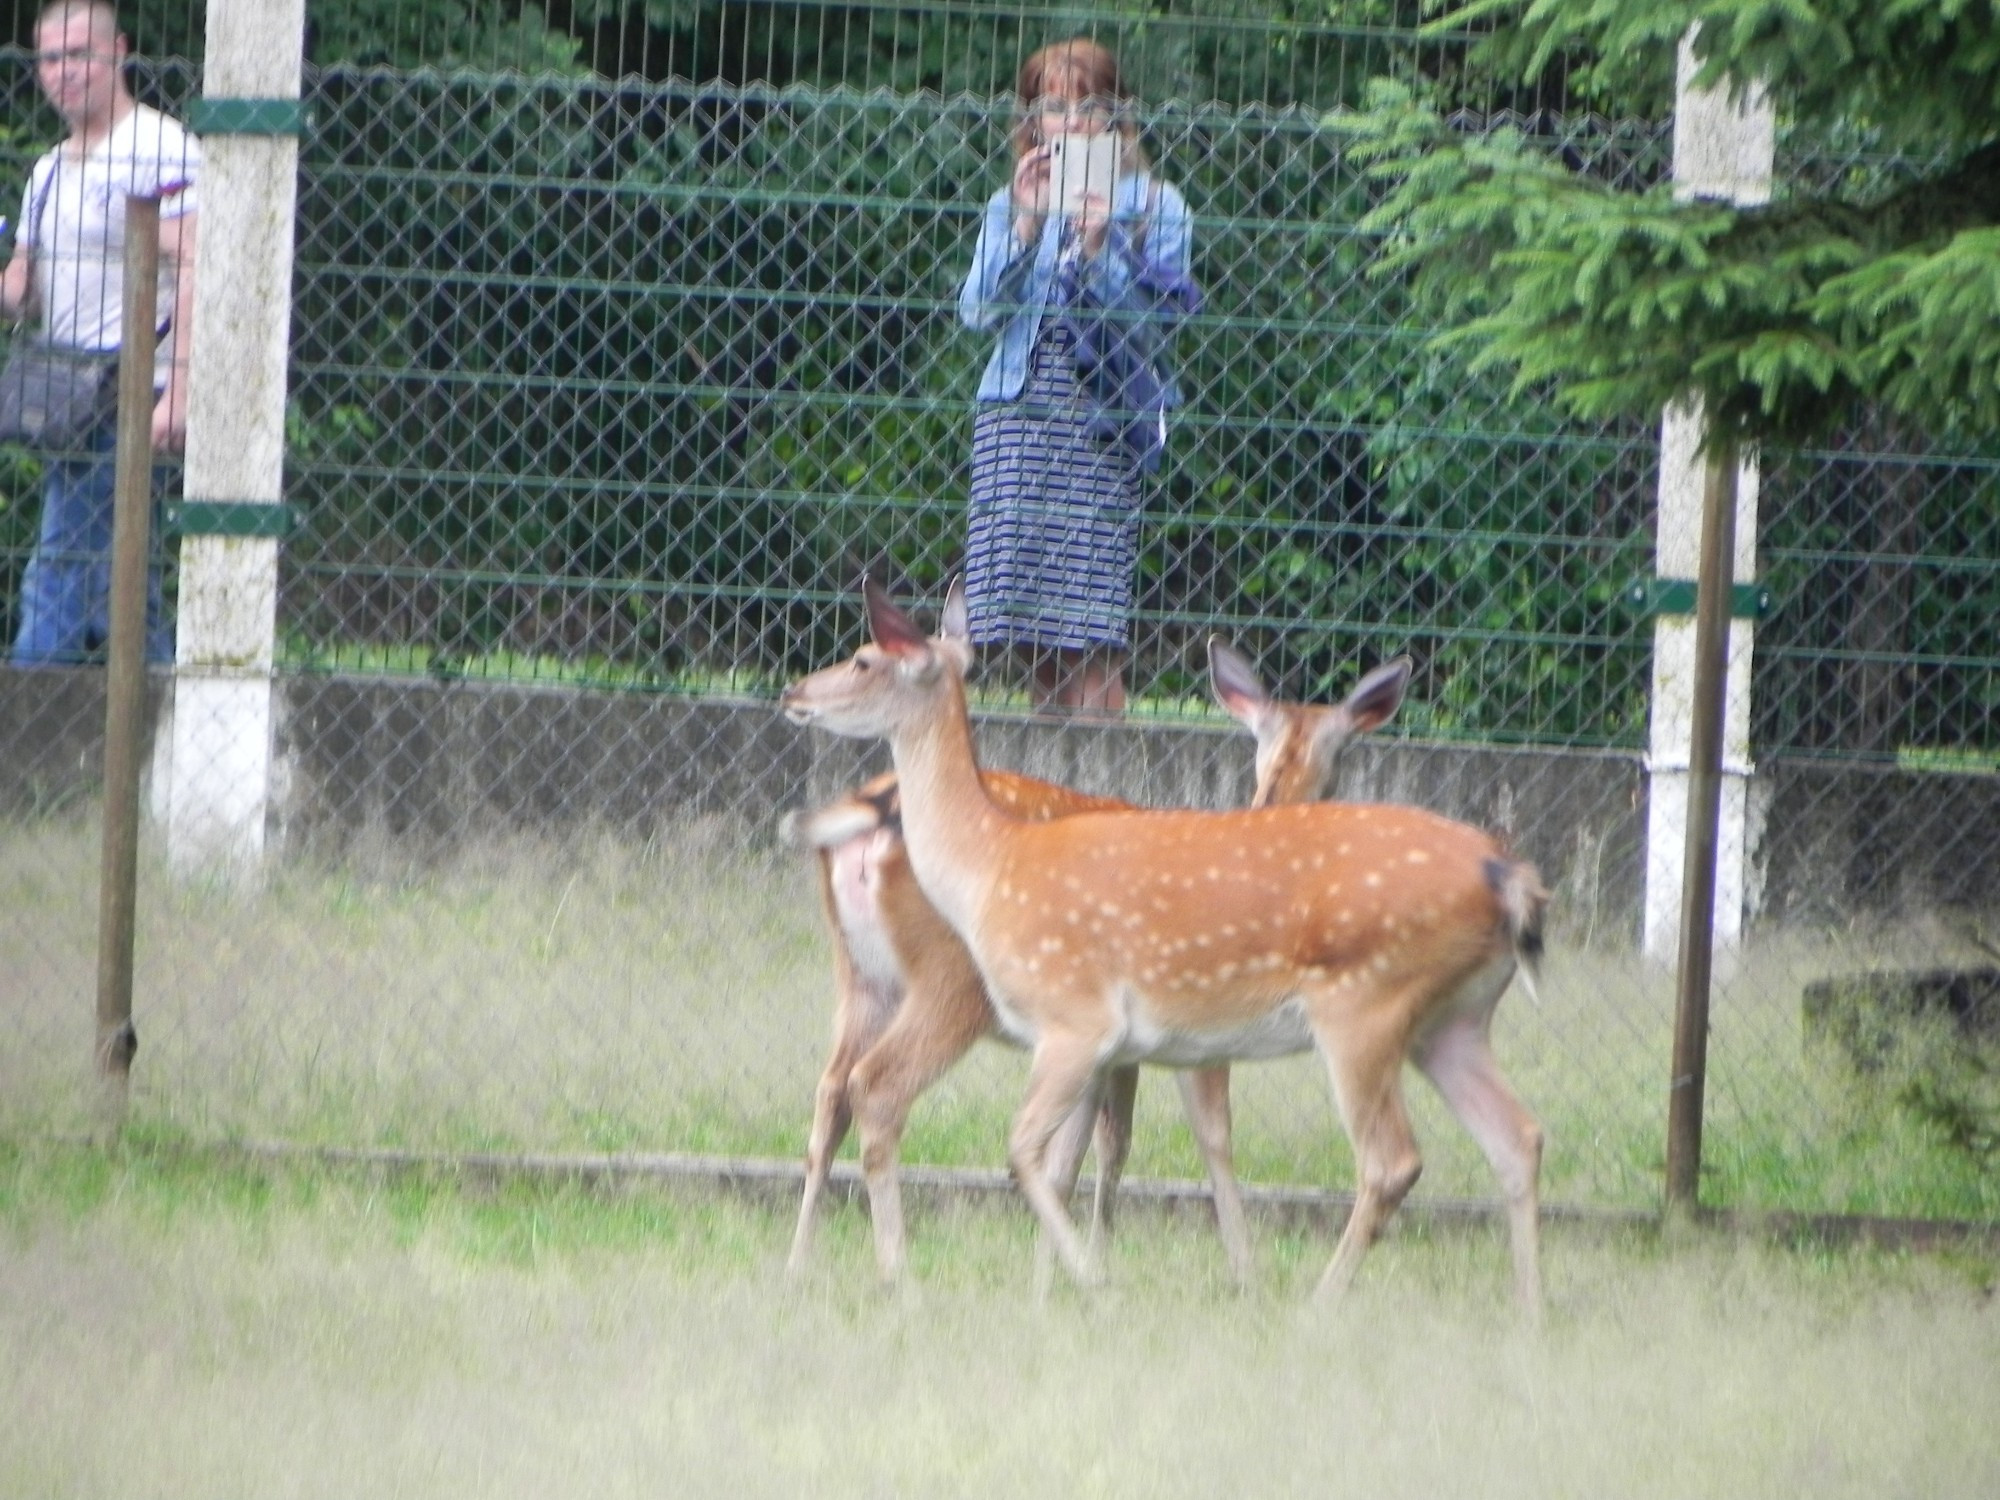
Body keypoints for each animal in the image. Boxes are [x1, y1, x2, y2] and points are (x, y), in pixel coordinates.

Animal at [780, 588, 1544, 1312]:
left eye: (864, 659)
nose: (794, 692)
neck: (989, 863)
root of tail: (1509, 879)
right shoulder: (1119, 1042)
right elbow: (1081, 1153)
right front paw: (1070, 1285)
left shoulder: (1092, 1025)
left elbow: (1064, 1151)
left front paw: (1097, 1280)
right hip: (1443, 1019)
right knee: (1510, 1138)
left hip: (1370, 1005)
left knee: (1405, 1158)